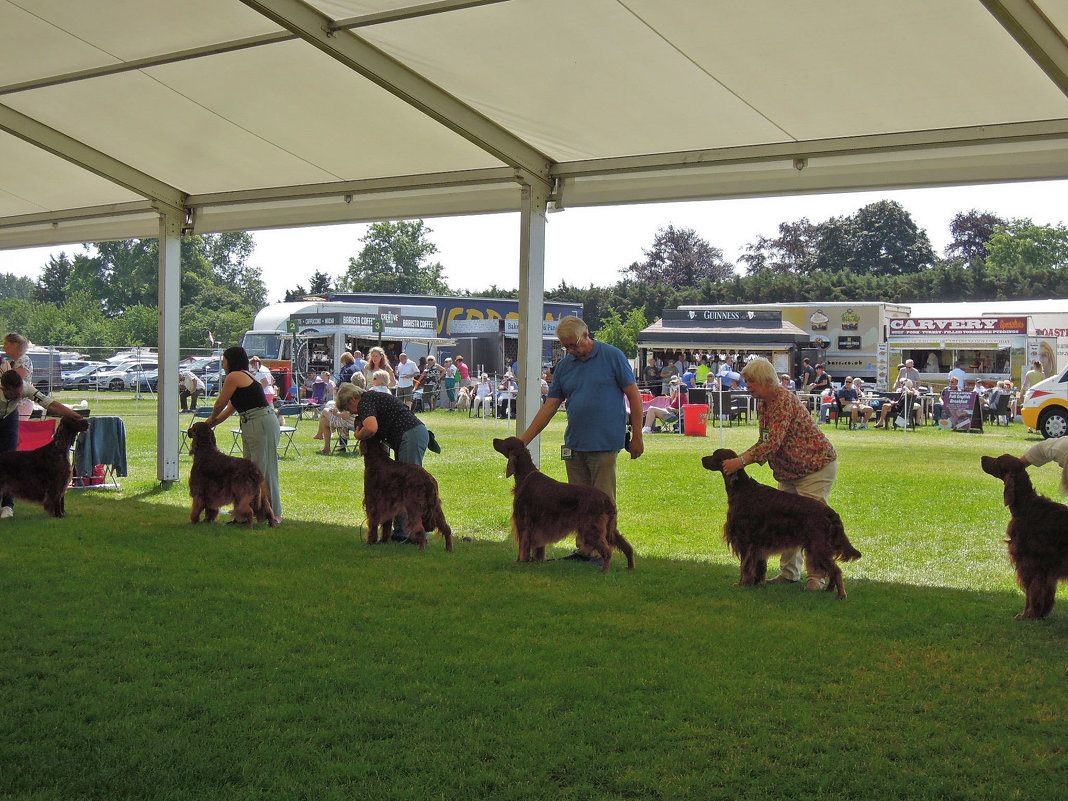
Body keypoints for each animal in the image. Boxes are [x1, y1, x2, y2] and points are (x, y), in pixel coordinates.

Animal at [491, 435, 632, 572]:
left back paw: (603, 571)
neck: (525, 475)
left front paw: (520, 562)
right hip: (608, 529)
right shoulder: (538, 526)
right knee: (627, 546)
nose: (494, 440)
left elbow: (523, 546)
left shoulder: (523, 522)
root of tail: (607, 499)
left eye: (505, 440)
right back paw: (630, 567)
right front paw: (536, 561)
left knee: (608, 551)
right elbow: (537, 549)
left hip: (591, 529)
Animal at [700, 448, 858, 598]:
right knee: (830, 569)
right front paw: (756, 582)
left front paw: (742, 584)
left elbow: (745, 566)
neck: (741, 488)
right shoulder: (758, 545)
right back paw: (829, 590)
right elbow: (758, 566)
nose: (702, 459)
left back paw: (841, 595)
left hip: (818, 546)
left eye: (714, 455)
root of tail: (830, 512)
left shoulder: (745, 540)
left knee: (836, 570)